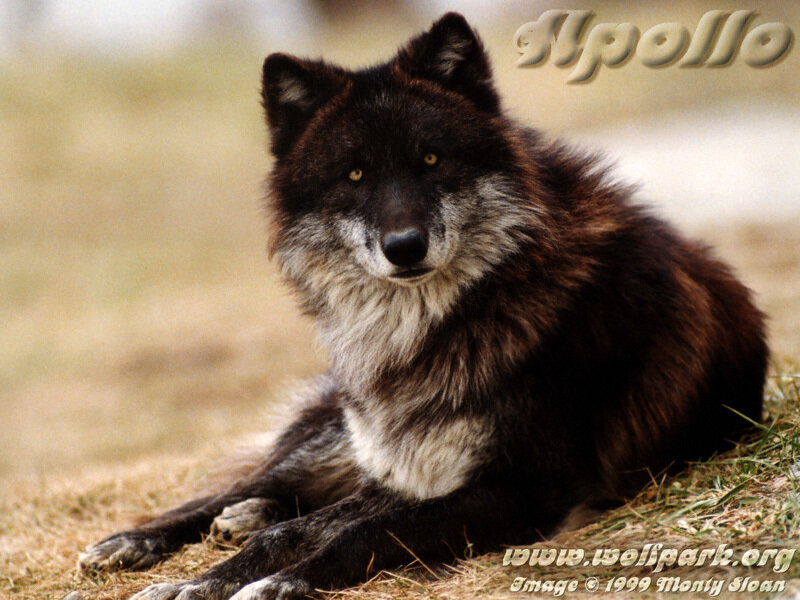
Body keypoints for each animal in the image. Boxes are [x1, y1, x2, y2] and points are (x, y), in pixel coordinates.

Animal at [78, 12, 768, 600]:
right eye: (355, 176)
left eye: (432, 159)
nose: (404, 247)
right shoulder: (405, 471)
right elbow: (297, 530)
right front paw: (202, 580)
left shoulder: (521, 488)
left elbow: (357, 530)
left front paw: (281, 581)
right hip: (333, 431)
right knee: (247, 484)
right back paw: (144, 537)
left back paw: (239, 518)